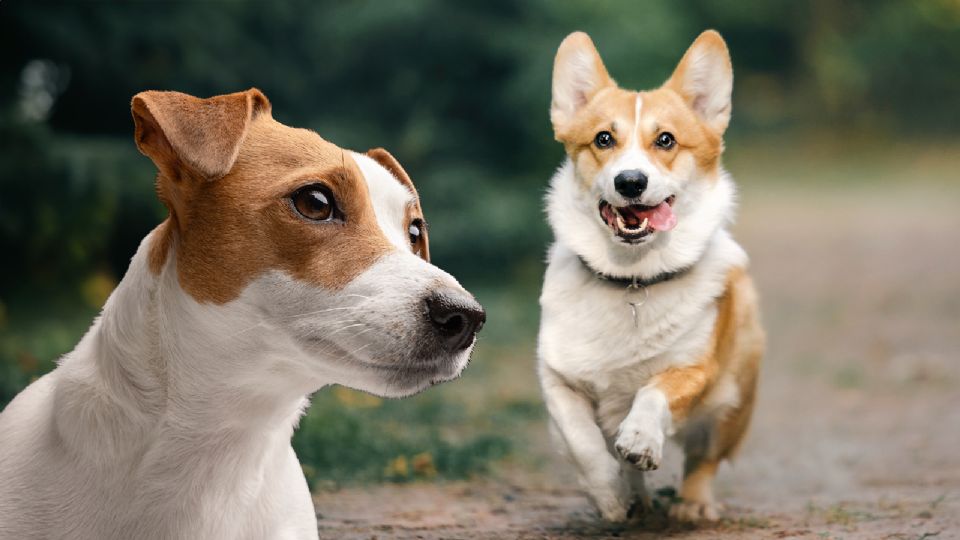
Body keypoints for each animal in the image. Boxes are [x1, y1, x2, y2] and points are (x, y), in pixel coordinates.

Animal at [540, 30, 764, 524]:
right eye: (603, 139)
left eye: (666, 140)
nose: (630, 181)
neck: (632, 278)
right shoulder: (557, 379)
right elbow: (583, 442)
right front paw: (609, 497)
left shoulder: (694, 369)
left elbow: (653, 393)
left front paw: (641, 439)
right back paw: (634, 499)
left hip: (732, 400)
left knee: (704, 458)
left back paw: (692, 504)